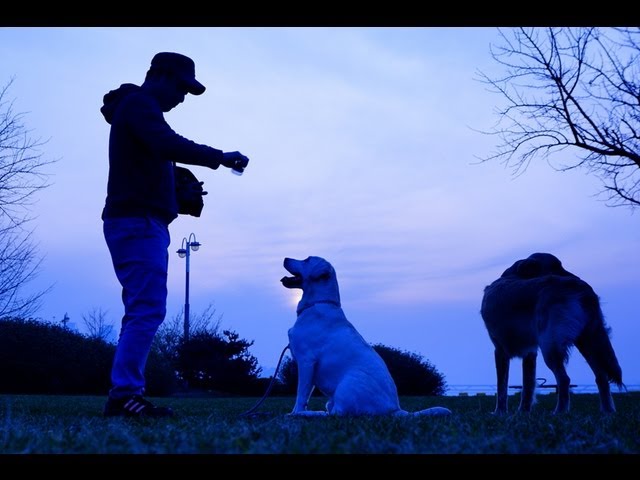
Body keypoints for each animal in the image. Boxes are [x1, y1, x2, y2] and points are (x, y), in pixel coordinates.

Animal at [278, 255, 450, 416]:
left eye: (307, 259)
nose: (285, 258)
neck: (318, 303)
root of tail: (395, 409)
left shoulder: (307, 361)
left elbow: (301, 395)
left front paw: (294, 413)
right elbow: (305, 394)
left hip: (346, 385)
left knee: (337, 414)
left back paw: (312, 414)